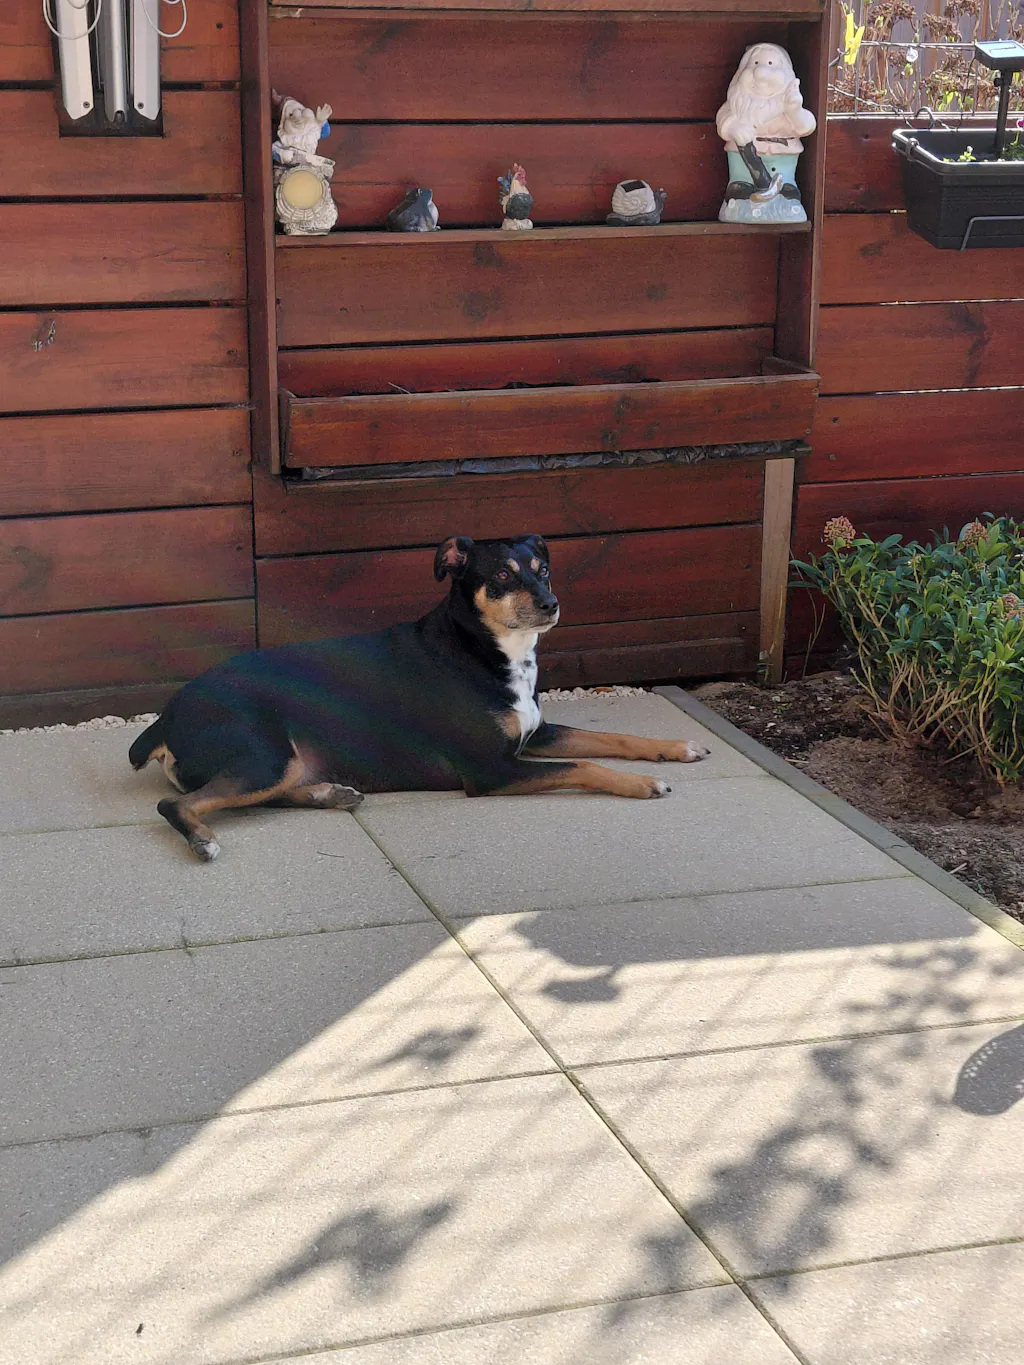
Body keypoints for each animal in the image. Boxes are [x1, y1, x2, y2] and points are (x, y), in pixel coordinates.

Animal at [130, 534, 709, 860]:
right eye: (503, 575)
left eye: (542, 569)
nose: (551, 603)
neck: (481, 648)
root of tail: (166, 718)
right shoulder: (490, 771)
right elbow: (586, 765)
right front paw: (642, 784)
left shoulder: (535, 734)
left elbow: (613, 735)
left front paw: (676, 747)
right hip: (266, 756)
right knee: (178, 802)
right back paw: (203, 839)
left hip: (278, 763)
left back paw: (327, 793)